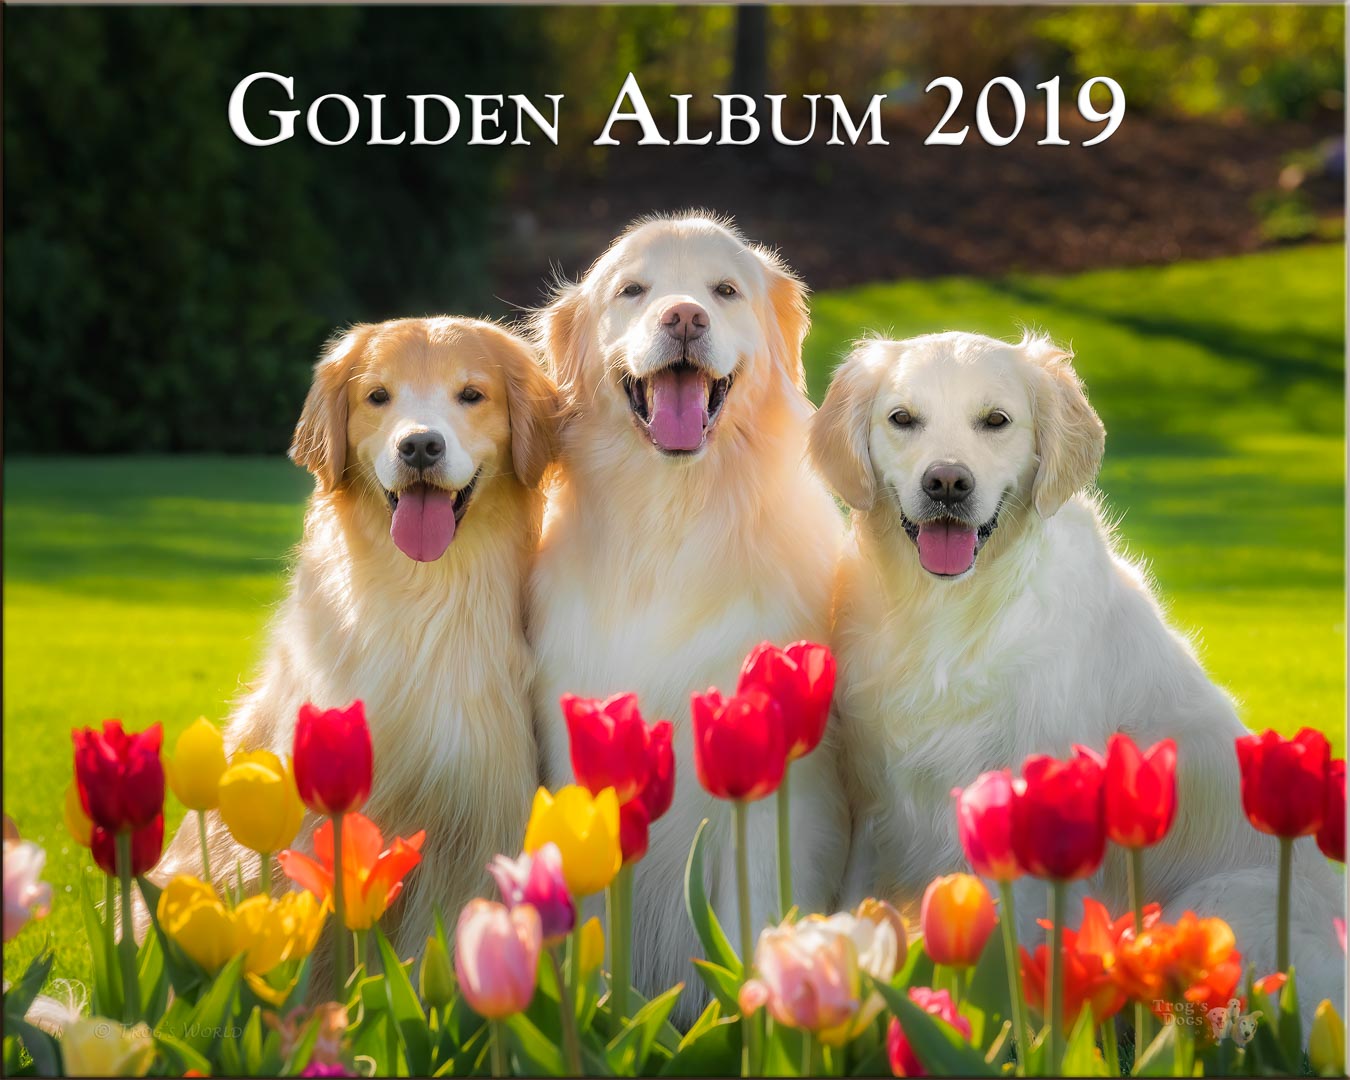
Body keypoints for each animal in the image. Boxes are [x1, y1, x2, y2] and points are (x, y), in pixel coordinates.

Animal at [810, 330, 1339, 1020]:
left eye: (996, 421)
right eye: (903, 419)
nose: (947, 482)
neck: (949, 616)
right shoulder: (878, 795)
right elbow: (854, 901)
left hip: (1221, 904)